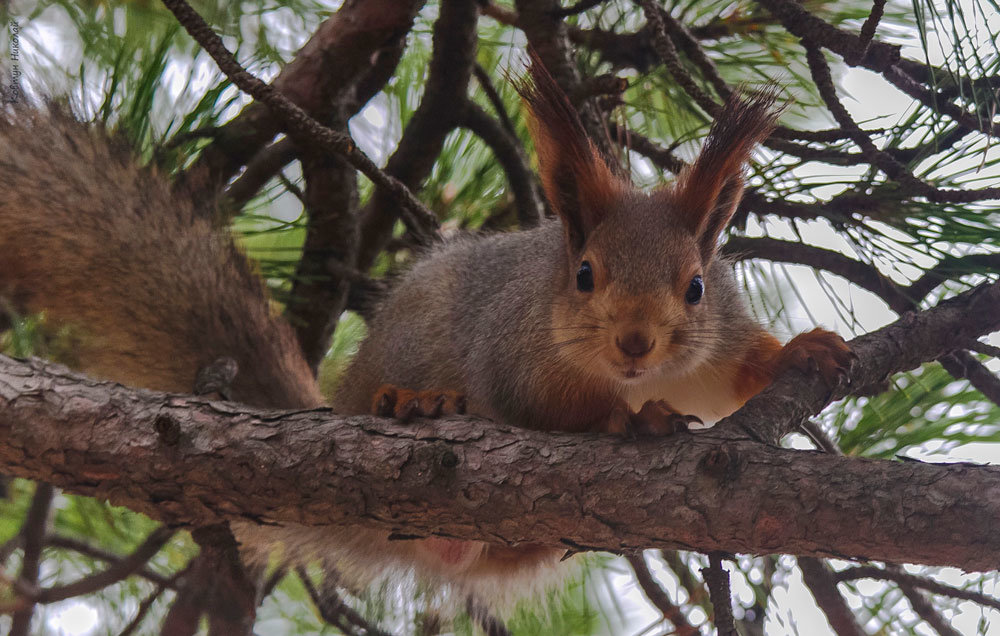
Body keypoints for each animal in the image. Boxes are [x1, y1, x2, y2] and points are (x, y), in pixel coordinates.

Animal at [0, 62, 852, 604]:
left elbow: (738, 370)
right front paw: (631, 420)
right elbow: (550, 410)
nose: (635, 344)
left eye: (696, 287)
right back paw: (414, 405)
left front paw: (802, 352)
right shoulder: (515, 355)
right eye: (583, 275)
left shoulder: (714, 340)